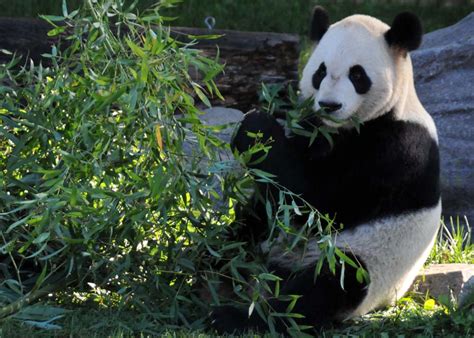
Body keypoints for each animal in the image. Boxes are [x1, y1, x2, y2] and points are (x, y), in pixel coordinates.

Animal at [210, 6, 440, 334]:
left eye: (357, 74)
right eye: (320, 72)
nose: (329, 105)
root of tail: (276, 269)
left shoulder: (398, 149)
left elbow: (315, 202)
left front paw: (255, 123)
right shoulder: (315, 131)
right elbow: (282, 188)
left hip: (360, 261)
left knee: (329, 286)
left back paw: (239, 317)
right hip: (266, 237)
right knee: (243, 231)